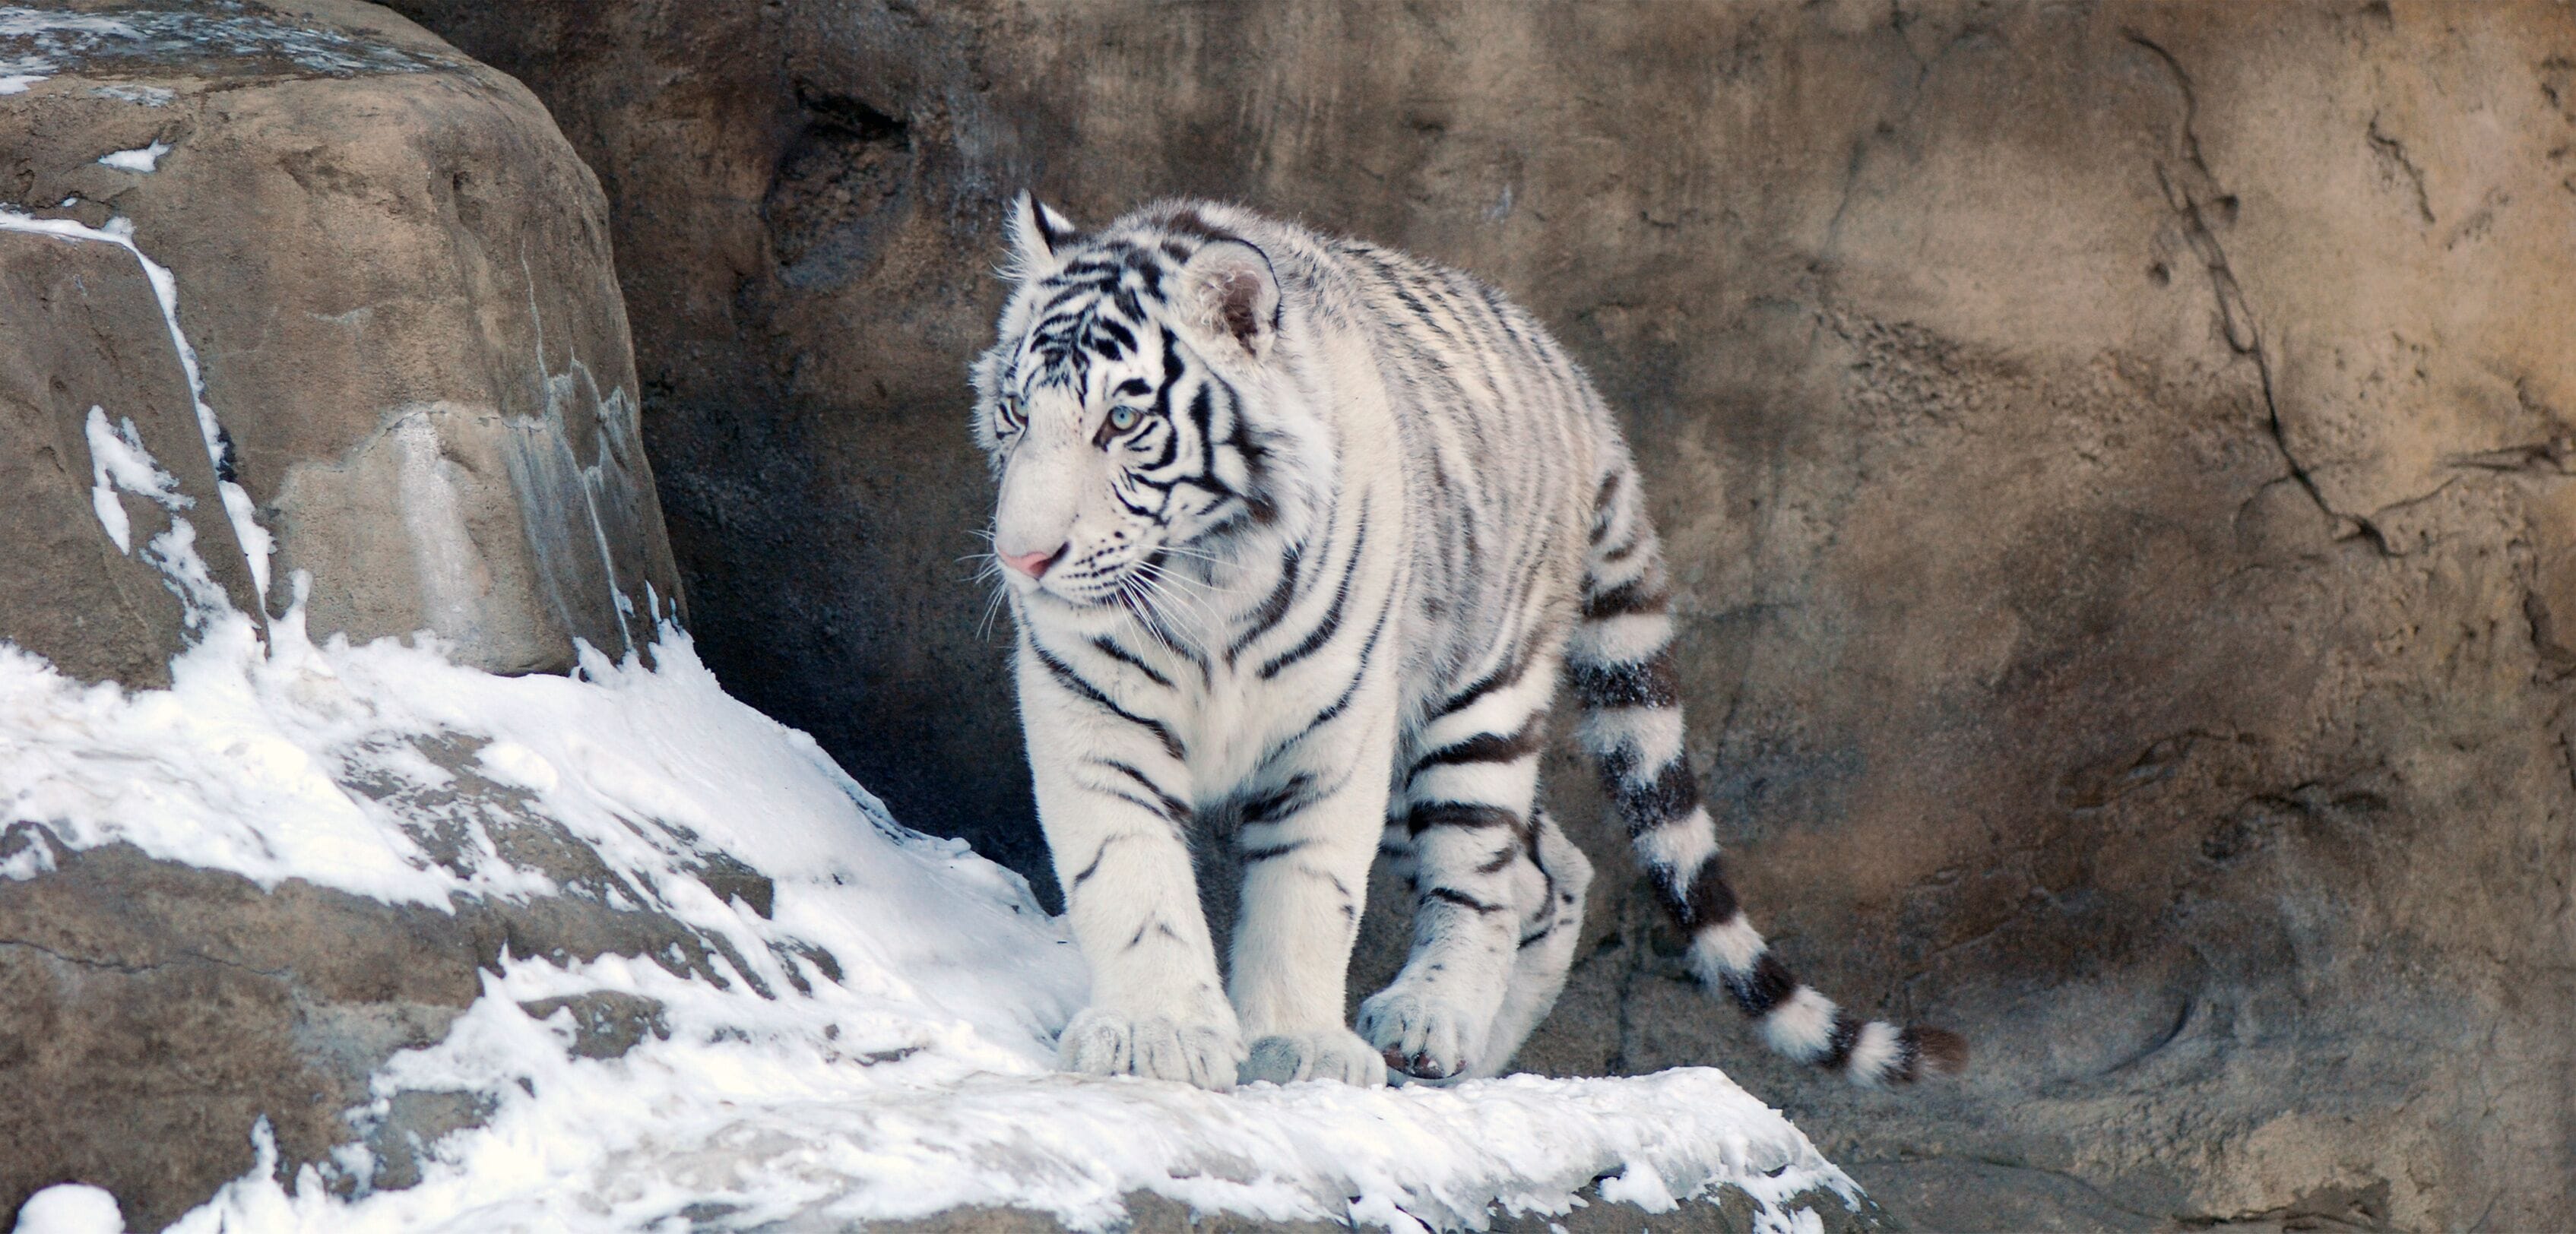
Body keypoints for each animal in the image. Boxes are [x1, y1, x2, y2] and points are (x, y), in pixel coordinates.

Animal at [968, 193, 1965, 1091]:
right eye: (1016, 412)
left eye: (1122, 422)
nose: (1022, 558)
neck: (1204, 575)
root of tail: (1580, 390)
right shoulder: (1091, 706)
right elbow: (1128, 874)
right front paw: (1158, 1035)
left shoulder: (1337, 730)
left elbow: (1307, 896)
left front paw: (1296, 1046)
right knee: (1552, 870)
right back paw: (1469, 1063)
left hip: (1470, 710)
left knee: (1492, 880)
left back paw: (1430, 1024)